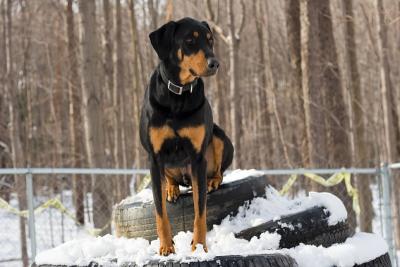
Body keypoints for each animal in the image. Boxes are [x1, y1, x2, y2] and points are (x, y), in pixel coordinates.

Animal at [141, 17, 234, 256]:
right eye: (190, 41)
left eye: (210, 40)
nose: (214, 63)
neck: (178, 95)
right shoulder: (154, 157)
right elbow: (160, 212)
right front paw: (166, 247)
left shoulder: (197, 158)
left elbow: (200, 210)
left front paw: (199, 246)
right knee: (170, 180)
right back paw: (171, 188)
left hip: (220, 137)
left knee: (219, 171)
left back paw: (213, 181)